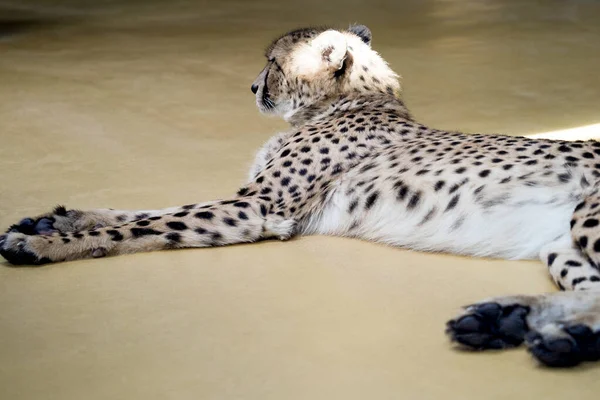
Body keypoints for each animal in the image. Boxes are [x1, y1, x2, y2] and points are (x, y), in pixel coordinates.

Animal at [3, 24, 600, 368]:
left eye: (271, 63)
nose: (250, 87)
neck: (351, 101)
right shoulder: (246, 198)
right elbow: (152, 209)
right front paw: (54, 222)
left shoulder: (258, 209)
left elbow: (146, 226)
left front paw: (46, 246)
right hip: (559, 241)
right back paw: (525, 325)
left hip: (583, 217)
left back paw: (530, 328)